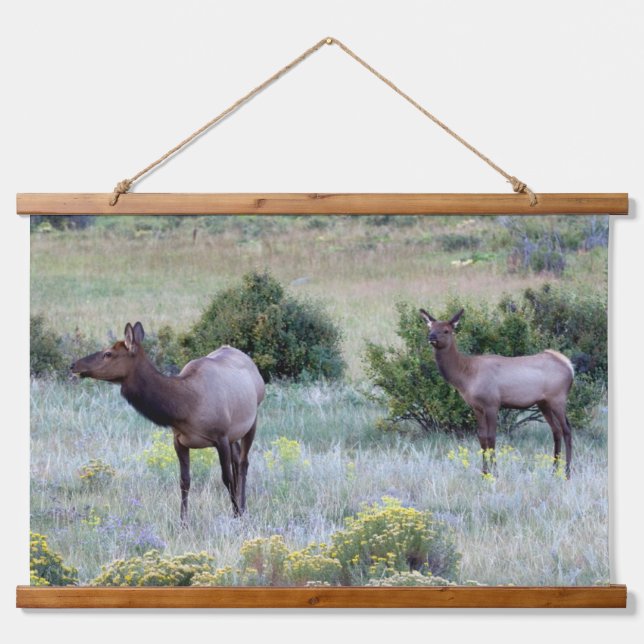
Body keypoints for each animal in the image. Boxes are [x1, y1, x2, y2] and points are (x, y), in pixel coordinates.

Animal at [71, 322, 265, 523]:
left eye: (108, 353)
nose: (73, 365)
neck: (186, 407)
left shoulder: (221, 436)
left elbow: (226, 478)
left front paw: (236, 513)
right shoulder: (179, 440)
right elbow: (184, 481)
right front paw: (183, 521)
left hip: (252, 419)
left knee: (243, 463)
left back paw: (243, 507)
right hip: (235, 433)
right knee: (237, 458)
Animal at [419, 308, 574, 478]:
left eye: (446, 330)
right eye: (430, 327)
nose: (431, 337)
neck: (466, 377)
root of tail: (570, 367)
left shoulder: (492, 403)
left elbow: (491, 437)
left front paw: (495, 473)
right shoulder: (477, 407)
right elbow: (481, 437)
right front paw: (484, 472)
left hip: (557, 398)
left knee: (567, 430)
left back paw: (567, 472)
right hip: (543, 403)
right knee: (556, 431)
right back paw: (554, 470)